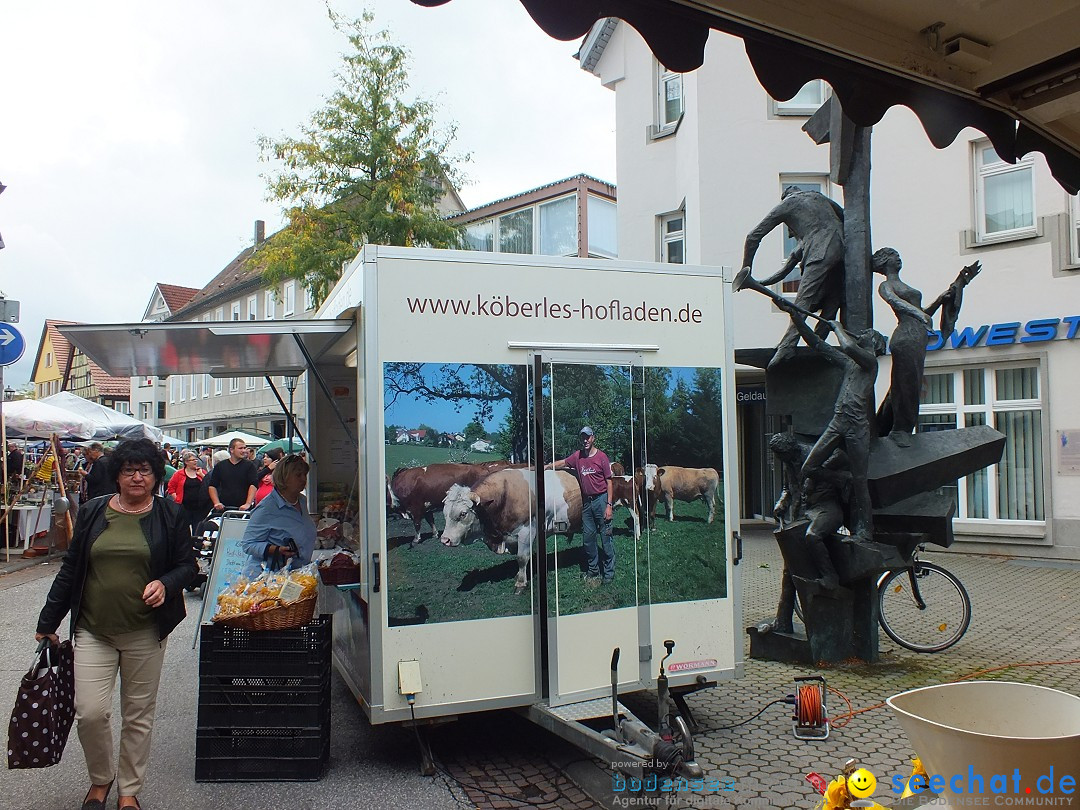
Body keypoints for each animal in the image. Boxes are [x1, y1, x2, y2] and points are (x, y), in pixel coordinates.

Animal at [438, 468, 583, 596]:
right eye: (444, 512)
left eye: (463, 513)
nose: (445, 540)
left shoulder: (527, 531)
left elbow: (522, 558)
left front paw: (520, 584)